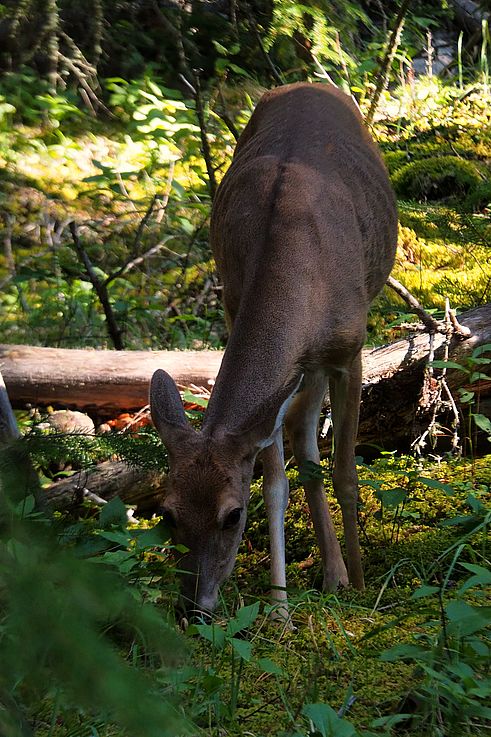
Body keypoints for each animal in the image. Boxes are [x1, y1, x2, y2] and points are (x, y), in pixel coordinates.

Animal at [150, 82, 398, 621]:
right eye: (167, 513)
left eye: (232, 515)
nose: (194, 609)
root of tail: (307, 83)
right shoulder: (234, 307)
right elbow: (277, 483)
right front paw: (281, 609)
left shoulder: (352, 349)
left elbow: (347, 472)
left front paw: (364, 585)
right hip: (301, 363)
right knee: (302, 432)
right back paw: (331, 575)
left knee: (311, 436)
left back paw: (344, 576)